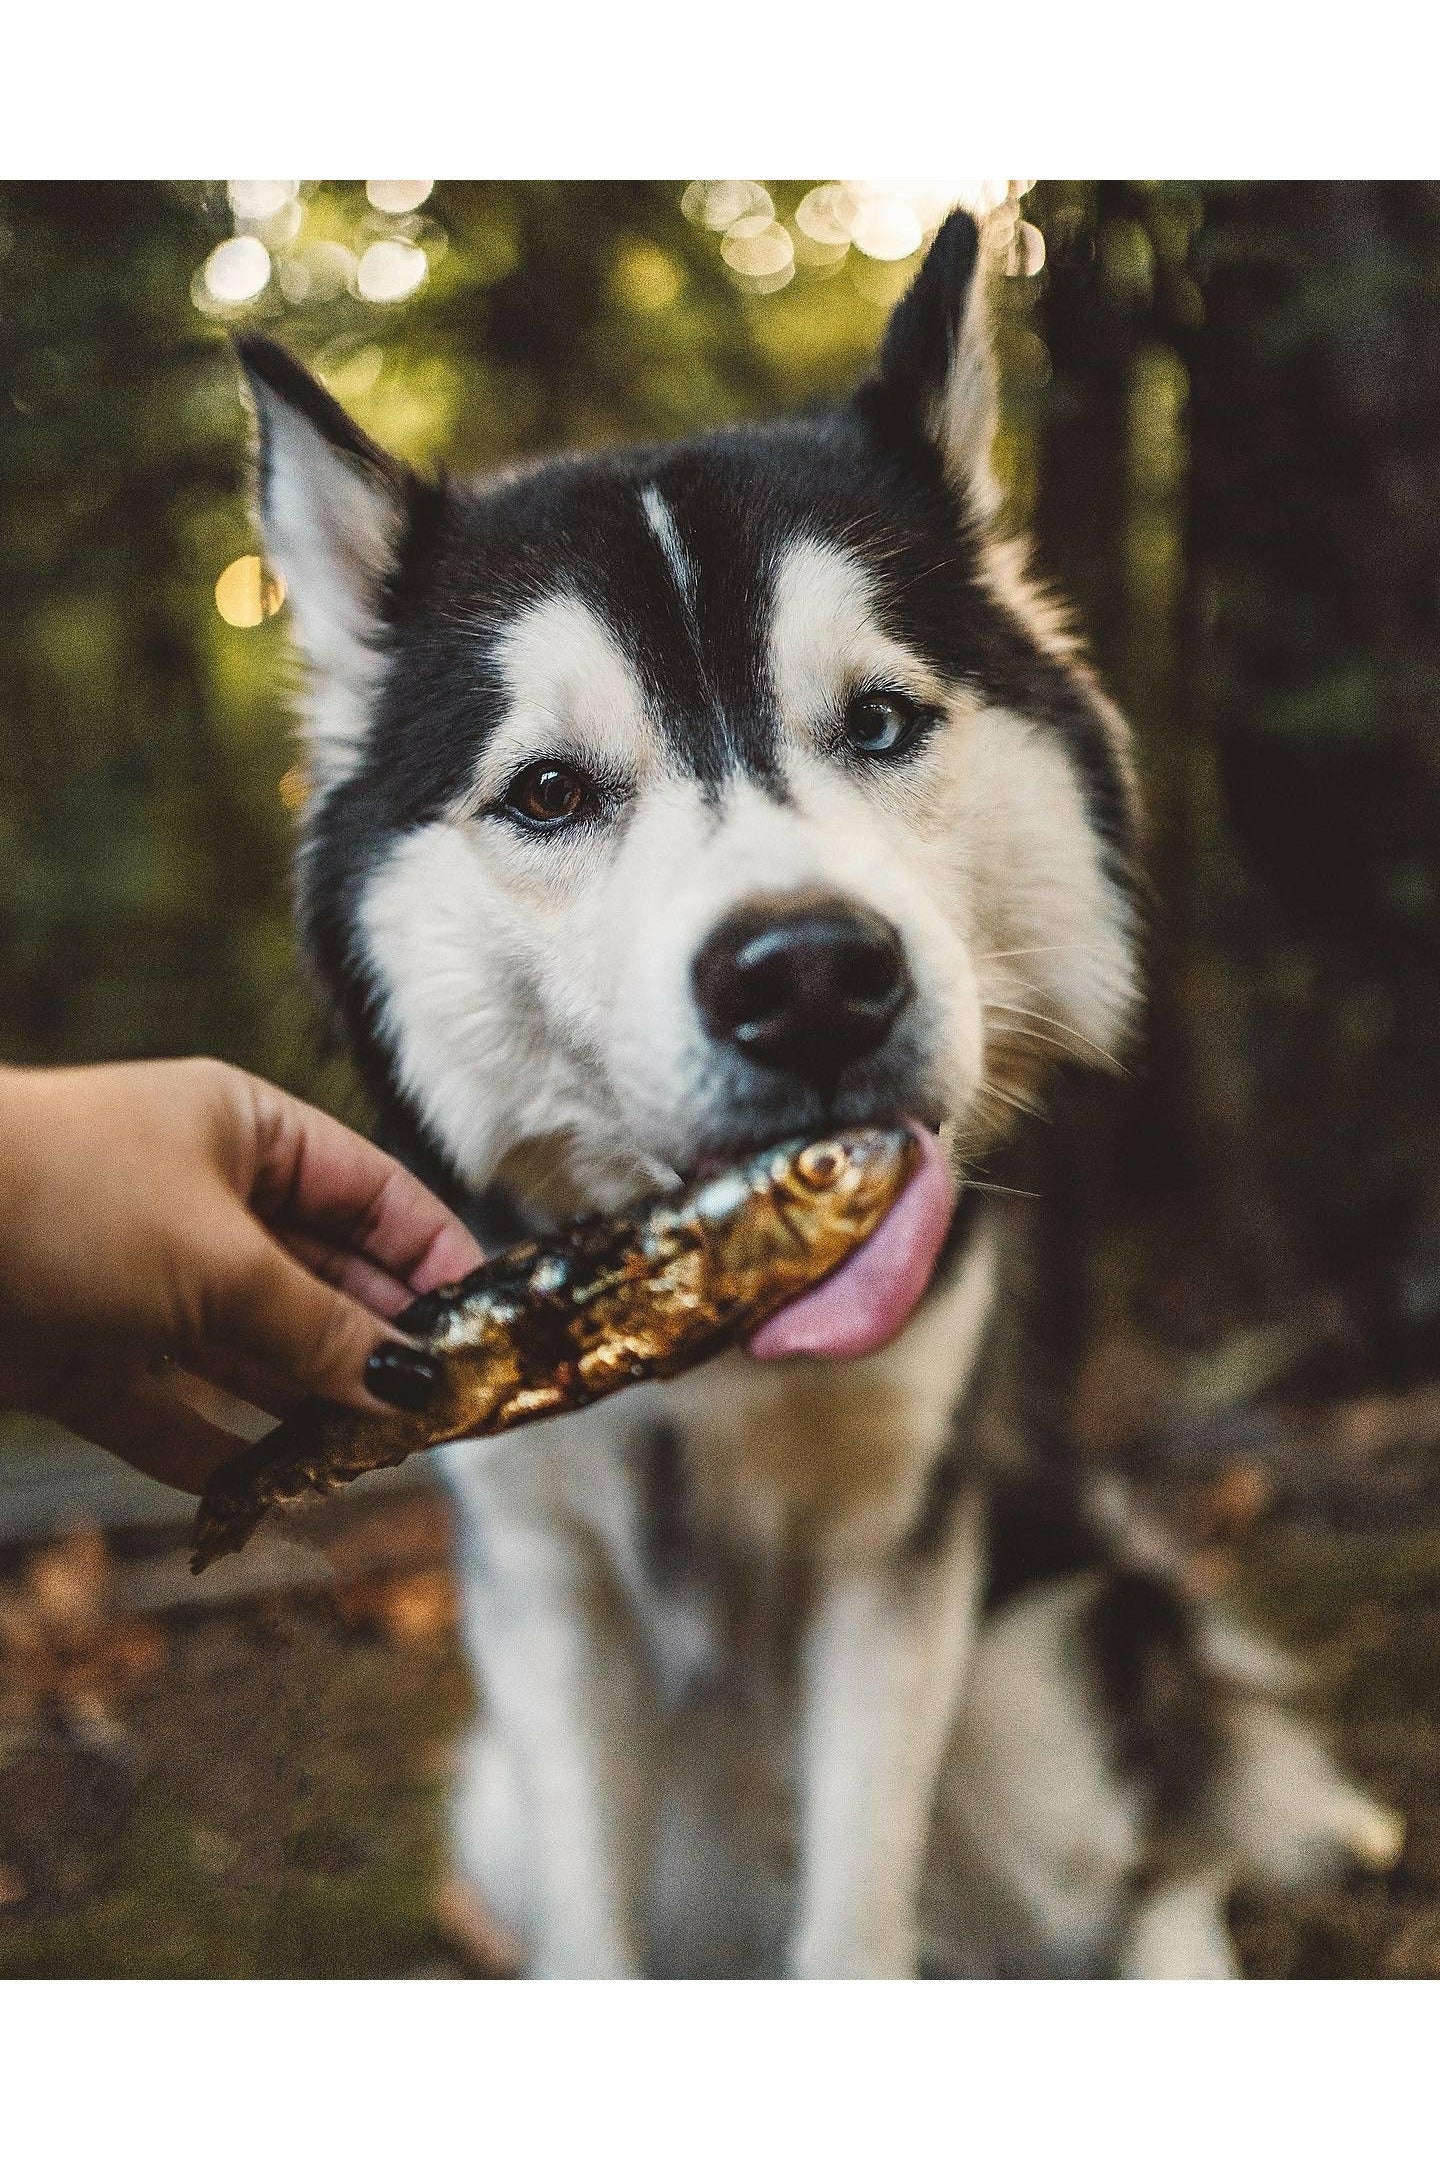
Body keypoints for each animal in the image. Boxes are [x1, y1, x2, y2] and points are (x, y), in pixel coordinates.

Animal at [236, 206, 1398, 1978]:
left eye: (882, 720)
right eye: (550, 794)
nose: (808, 980)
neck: (707, 1348)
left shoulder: (894, 1566)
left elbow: (856, 1920)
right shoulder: (542, 1590)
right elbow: (592, 1942)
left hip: (1038, 1705)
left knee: (1157, 1855)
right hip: (494, 1809)